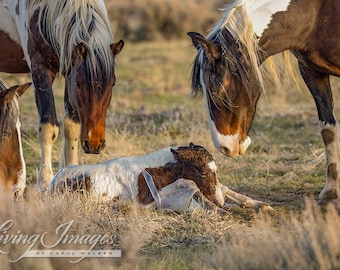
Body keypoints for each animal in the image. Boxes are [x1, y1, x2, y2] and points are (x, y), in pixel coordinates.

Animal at [0, 0, 125, 190]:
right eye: (79, 83)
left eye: (113, 83)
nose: (94, 143)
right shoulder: (40, 68)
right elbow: (49, 127)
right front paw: (45, 182)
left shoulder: (68, 67)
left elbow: (71, 127)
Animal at [190, 0, 340, 202]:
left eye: (219, 90)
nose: (225, 147)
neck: (317, 14)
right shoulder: (312, 72)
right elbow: (327, 129)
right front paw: (331, 191)